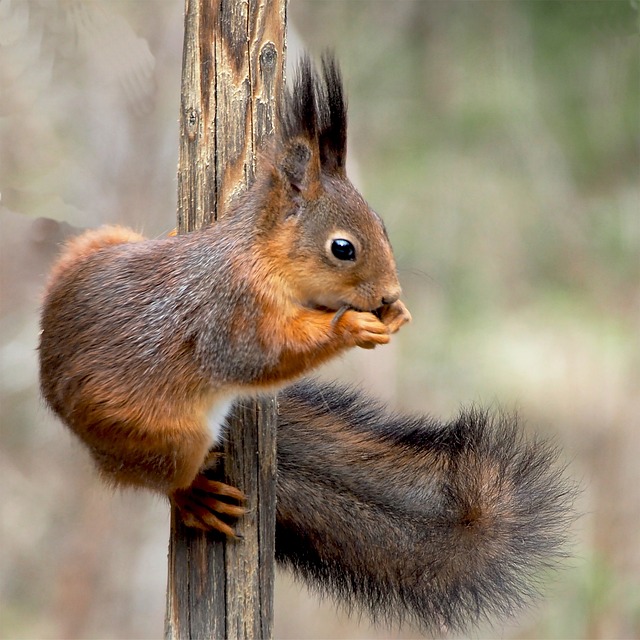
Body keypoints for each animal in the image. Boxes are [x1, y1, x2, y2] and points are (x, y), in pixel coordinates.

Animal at [38, 53, 576, 632]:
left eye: (383, 226)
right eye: (343, 248)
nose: (388, 293)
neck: (256, 254)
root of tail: (56, 401)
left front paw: (395, 315)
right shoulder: (230, 315)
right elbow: (264, 356)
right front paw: (353, 328)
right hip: (162, 436)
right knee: (161, 478)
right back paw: (194, 497)